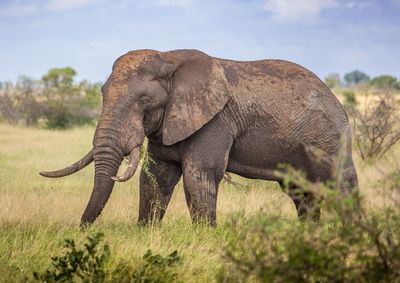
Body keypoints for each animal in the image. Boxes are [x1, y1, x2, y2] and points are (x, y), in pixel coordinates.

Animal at [39, 48, 360, 226]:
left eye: (144, 101)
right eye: (102, 94)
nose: (81, 229)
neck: (169, 60)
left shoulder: (214, 120)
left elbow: (200, 173)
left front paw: (204, 236)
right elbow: (156, 176)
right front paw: (145, 232)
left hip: (329, 137)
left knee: (341, 184)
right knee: (302, 193)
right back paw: (307, 234)